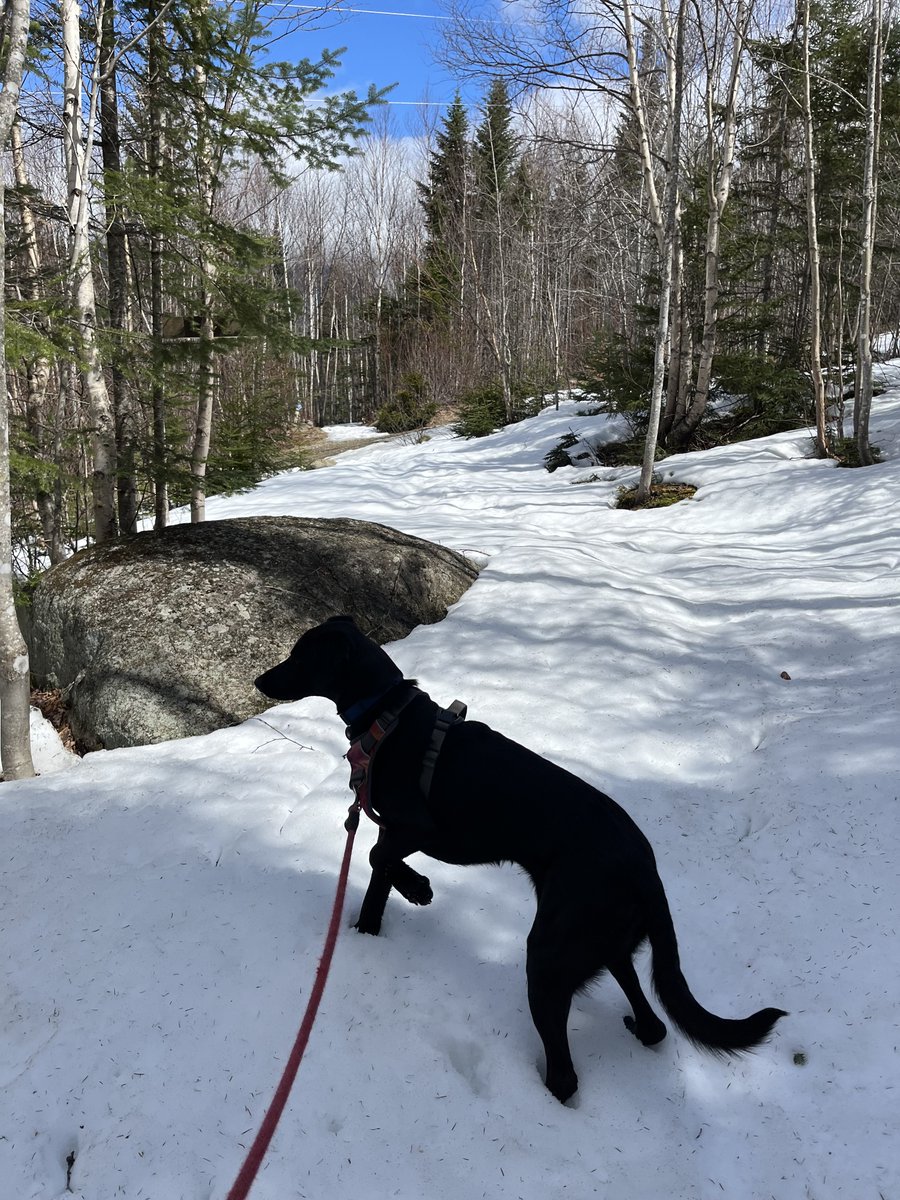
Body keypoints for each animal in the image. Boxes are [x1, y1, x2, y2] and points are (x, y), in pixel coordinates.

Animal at [256, 619, 787, 1104]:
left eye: (301, 656)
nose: (261, 681)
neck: (387, 716)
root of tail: (646, 872)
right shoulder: (393, 829)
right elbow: (376, 878)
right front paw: (370, 930)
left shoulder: (421, 830)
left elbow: (374, 855)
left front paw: (419, 889)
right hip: (605, 947)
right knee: (654, 1023)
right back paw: (637, 1029)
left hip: (548, 957)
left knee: (566, 1076)